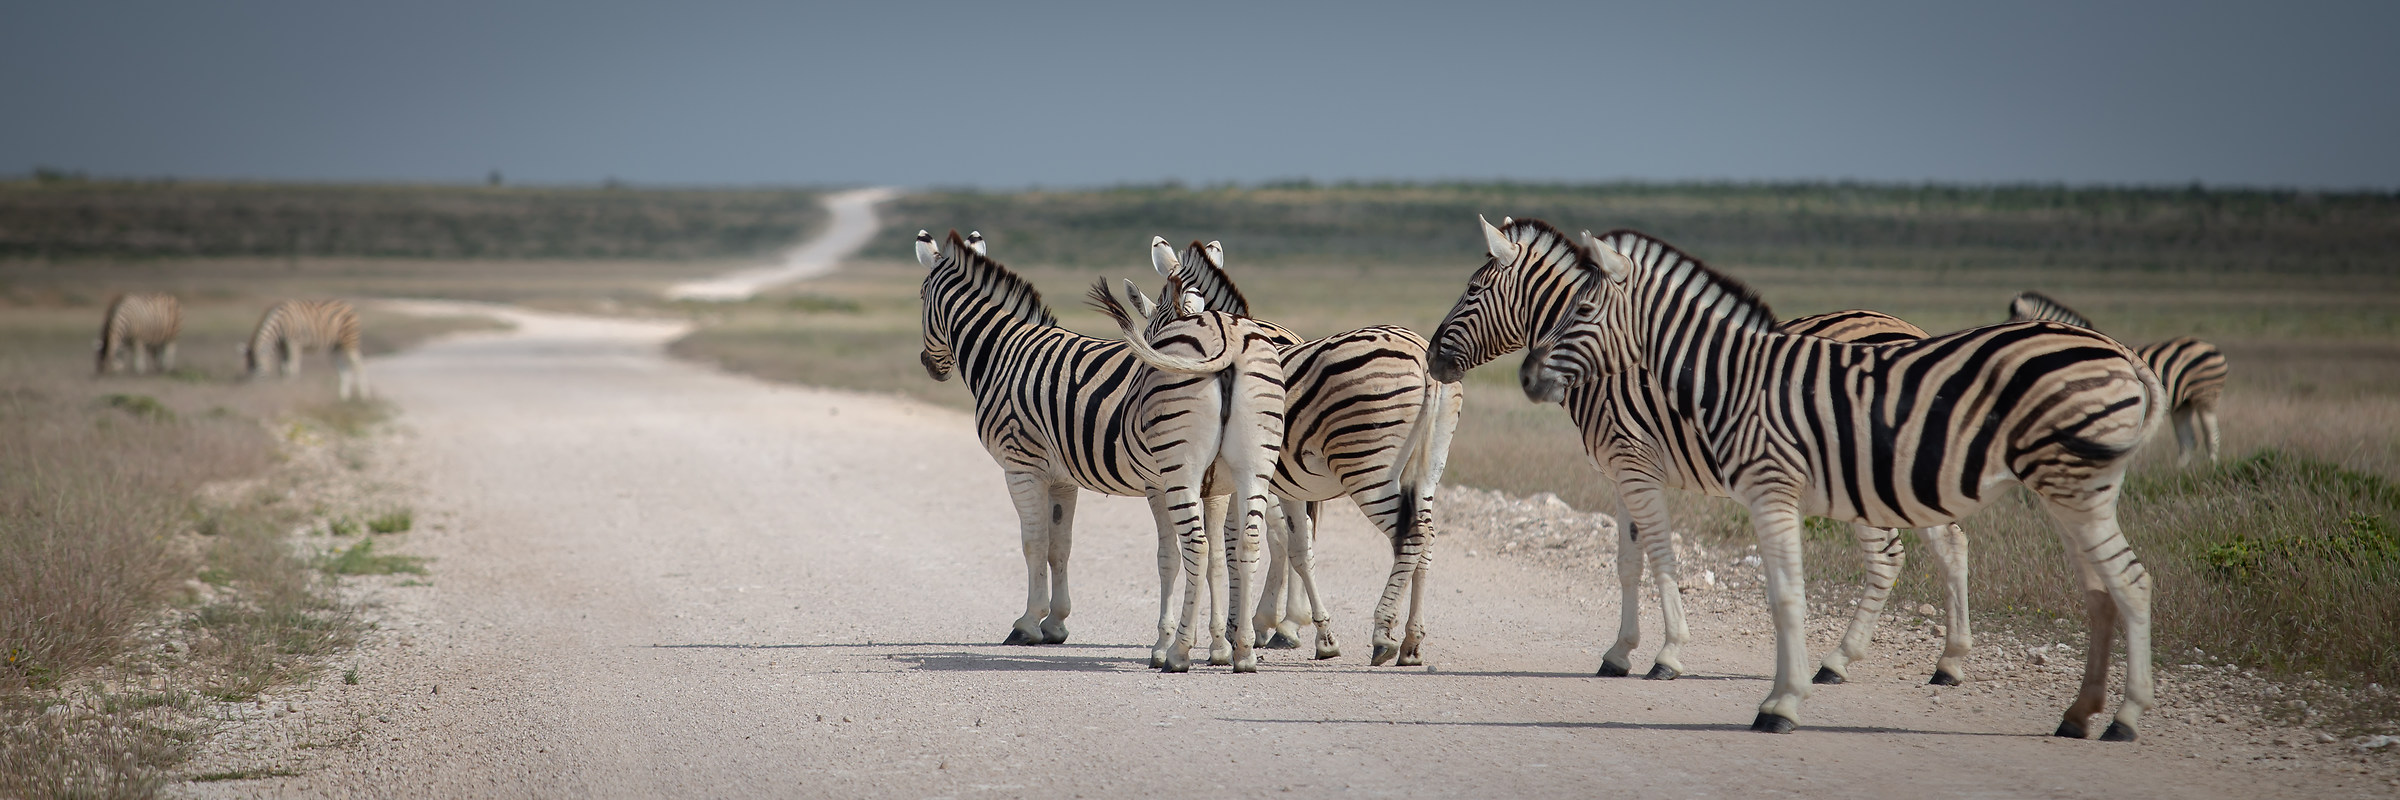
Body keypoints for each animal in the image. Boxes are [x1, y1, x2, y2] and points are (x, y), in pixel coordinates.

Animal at [914, 230, 1287, 672]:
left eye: (921, 296)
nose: (930, 365)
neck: (1004, 353)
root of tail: (1227, 340)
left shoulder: (1022, 465)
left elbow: (1034, 543)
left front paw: (1028, 624)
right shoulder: (1064, 478)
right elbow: (1061, 545)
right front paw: (1056, 623)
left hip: (1190, 470)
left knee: (1235, 540)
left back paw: (1191, 650)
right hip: (1252, 466)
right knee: (1250, 541)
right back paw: (1245, 648)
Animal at [1426, 220, 1974, 687]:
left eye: (1472, 291)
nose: (1432, 358)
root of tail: (1914, 331)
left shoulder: (1636, 467)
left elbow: (1661, 554)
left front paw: (1668, 655)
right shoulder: (1622, 473)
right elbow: (1628, 561)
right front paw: (1619, 654)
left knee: (1887, 556)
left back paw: (1837, 663)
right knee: (1949, 543)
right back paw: (1949, 663)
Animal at [1506, 219, 2165, 738]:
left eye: (1583, 309)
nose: (1528, 379)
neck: (1730, 377)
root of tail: (2121, 353)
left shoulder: (1766, 489)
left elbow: (1783, 596)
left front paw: (1779, 704)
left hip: (2069, 486)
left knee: (2130, 583)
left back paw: (2125, 718)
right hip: (2063, 490)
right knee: (2099, 590)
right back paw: (2076, 713)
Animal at [2009, 291, 2227, 465]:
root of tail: (2208, 345)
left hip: (2206, 395)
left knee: (2211, 436)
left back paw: (2210, 469)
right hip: (2184, 404)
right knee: (2188, 440)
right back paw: (2179, 472)